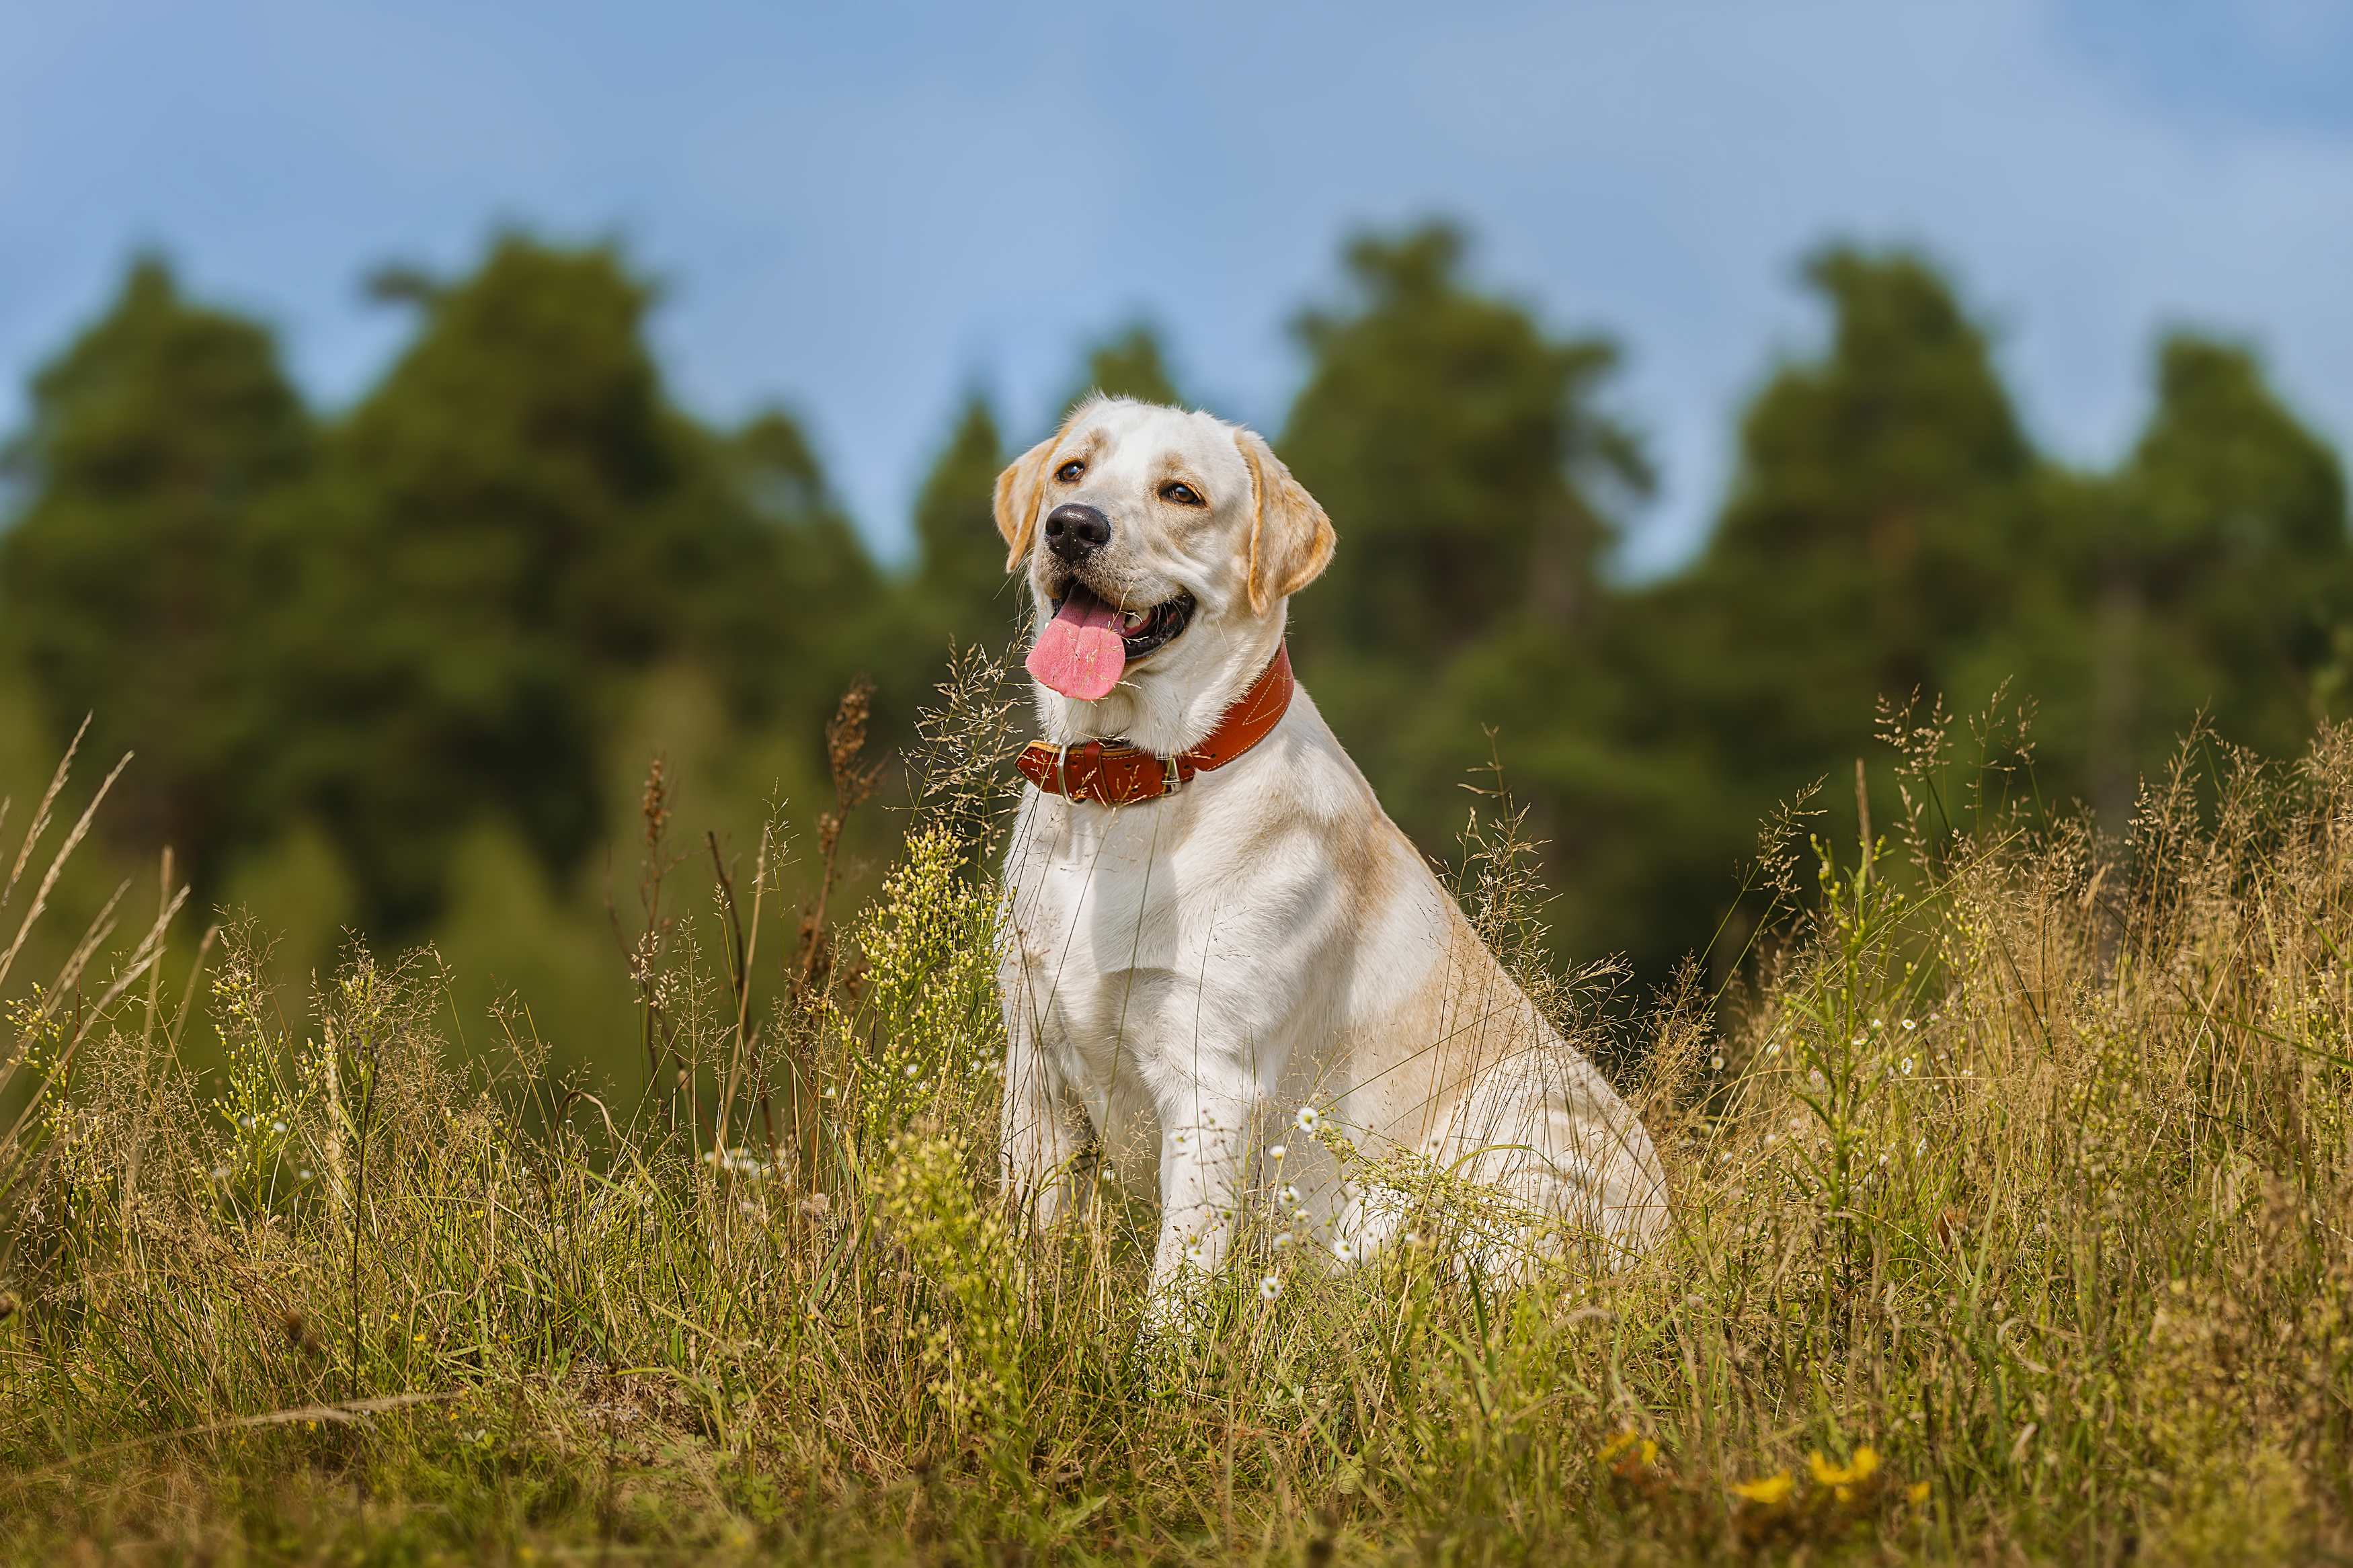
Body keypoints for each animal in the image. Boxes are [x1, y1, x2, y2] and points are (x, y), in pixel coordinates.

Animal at [998, 395, 1675, 1297]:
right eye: (1072, 470)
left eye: (1180, 492)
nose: (1072, 526)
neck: (1123, 791)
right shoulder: (1033, 1063)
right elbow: (1026, 1251)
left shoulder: (1211, 1082)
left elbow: (1175, 1293)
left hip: (1519, 1118)